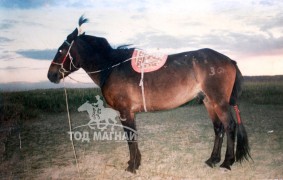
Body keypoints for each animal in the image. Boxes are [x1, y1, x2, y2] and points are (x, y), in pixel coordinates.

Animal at [47, 16, 252, 173]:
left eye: (61, 50)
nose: (51, 75)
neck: (112, 66)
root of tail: (229, 60)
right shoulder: (129, 113)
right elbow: (133, 136)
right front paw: (135, 162)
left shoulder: (125, 112)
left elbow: (130, 138)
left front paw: (132, 166)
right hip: (209, 101)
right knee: (218, 128)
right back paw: (213, 159)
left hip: (219, 102)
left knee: (230, 126)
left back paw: (226, 162)